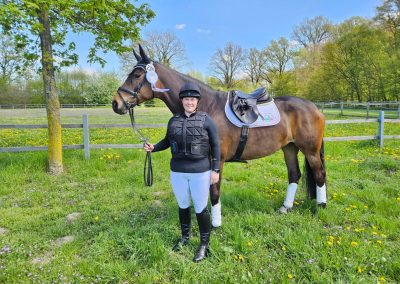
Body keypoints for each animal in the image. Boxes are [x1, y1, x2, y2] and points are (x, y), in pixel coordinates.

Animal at [111, 45, 324, 227]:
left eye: (137, 74)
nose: (116, 103)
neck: (206, 106)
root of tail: (314, 107)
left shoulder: (217, 160)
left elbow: (214, 191)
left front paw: (214, 224)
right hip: (289, 147)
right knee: (294, 174)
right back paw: (285, 207)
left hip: (310, 151)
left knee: (319, 174)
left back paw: (321, 207)